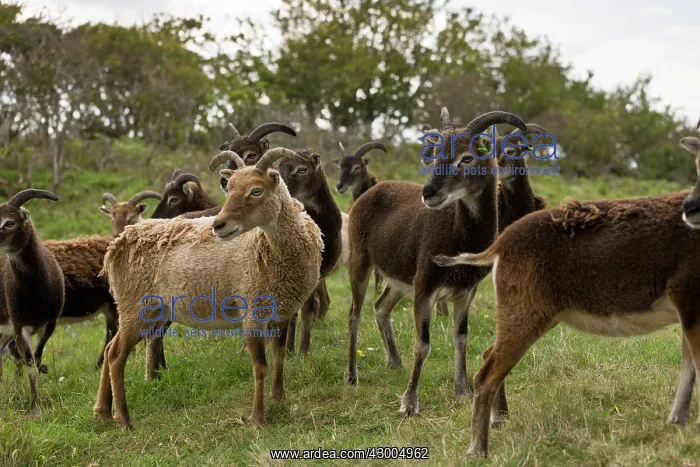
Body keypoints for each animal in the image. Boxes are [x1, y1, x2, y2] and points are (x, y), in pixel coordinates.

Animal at [0, 189, 63, 412]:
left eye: (9, 222)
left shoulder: (50, 323)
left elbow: (36, 358)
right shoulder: (20, 328)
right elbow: (30, 366)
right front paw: (35, 407)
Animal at [94, 148, 323, 430]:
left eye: (256, 191)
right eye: (230, 188)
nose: (218, 225)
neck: (269, 245)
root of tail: (117, 244)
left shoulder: (282, 312)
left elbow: (279, 357)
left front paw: (280, 401)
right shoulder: (252, 312)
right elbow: (260, 366)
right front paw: (258, 419)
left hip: (144, 310)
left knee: (109, 350)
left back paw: (104, 412)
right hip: (135, 307)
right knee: (116, 355)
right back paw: (124, 420)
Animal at [276, 148, 343, 353]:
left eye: (302, 169)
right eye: (277, 170)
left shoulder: (316, 275)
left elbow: (308, 309)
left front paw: (302, 349)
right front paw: (290, 348)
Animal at [345, 109, 527, 420]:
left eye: (467, 158)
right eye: (435, 155)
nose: (429, 192)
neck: (458, 234)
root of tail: (368, 193)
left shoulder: (466, 292)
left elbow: (461, 337)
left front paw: (463, 390)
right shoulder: (425, 287)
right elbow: (423, 344)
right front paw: (409, 403)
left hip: (399, 279)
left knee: (380, 307)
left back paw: (394, 362)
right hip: (361, 263)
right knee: (354, 315)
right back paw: (352, 376)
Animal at [430, 136, 700, 458]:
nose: (691, 208)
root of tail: (501, 244)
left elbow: (687, 367)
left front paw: (677, 421)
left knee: (488, 355)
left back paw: (499, 418)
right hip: (524, 315)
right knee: (485, 374)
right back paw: (477, 449)